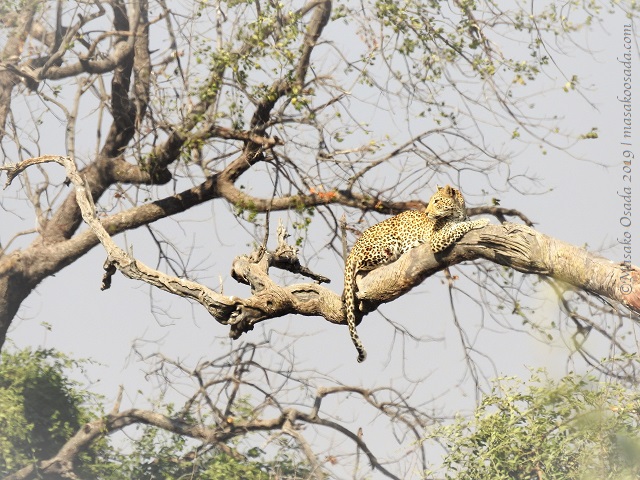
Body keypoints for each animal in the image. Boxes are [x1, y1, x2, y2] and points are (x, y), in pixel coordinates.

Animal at [342, 185, 489, 363]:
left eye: (437, 201)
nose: (426, 212)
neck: (459, 213)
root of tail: (353, 249)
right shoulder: (437, 239)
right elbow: (460, 227)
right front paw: (482, 221)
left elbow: (462, 224)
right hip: (388, 244)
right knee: (361, 266)